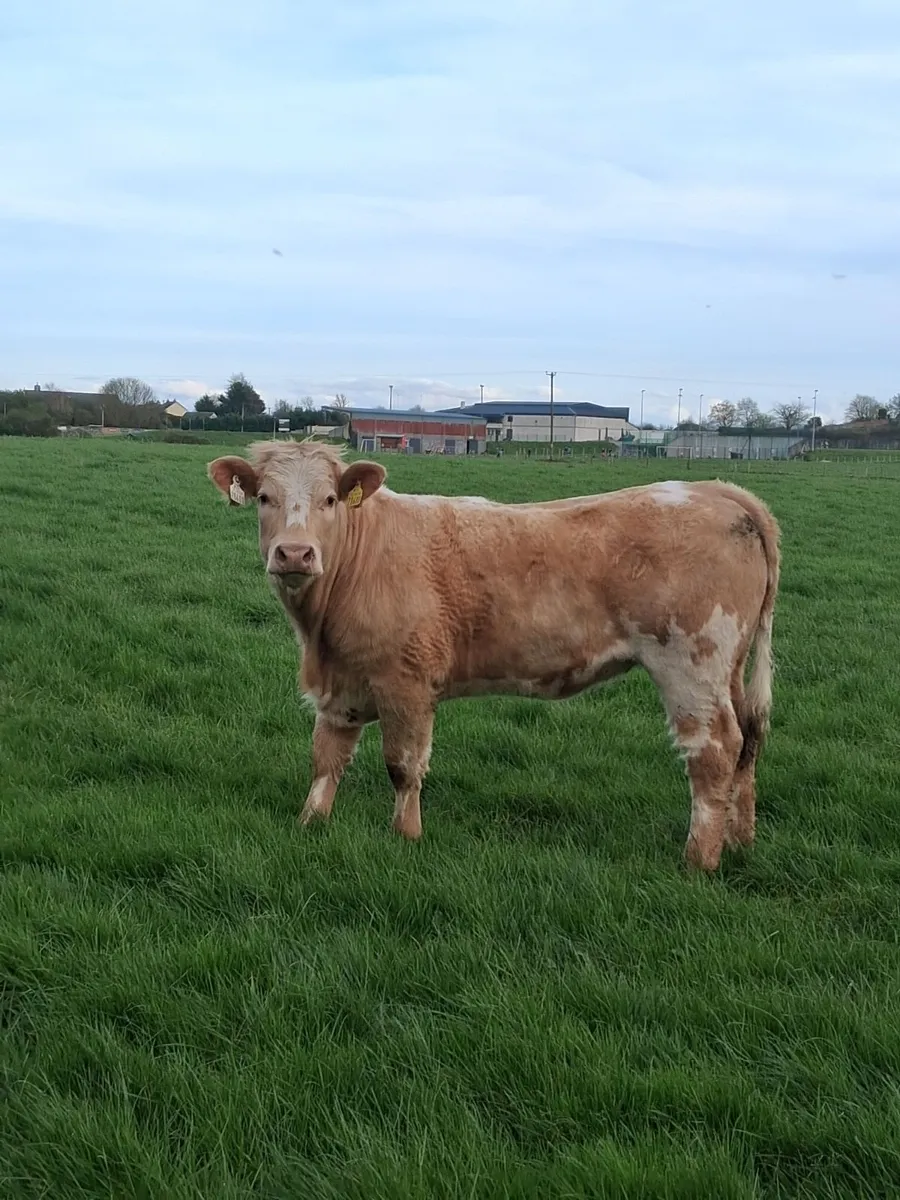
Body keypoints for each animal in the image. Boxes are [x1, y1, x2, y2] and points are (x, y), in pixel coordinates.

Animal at [207, 441, 780, 871]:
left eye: (329, 499)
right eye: (264, 497)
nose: (294, 553)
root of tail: (717, 491)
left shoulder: (406, 682)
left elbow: (403, 765)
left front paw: (406, 836)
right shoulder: (341, 684)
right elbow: (327, 757)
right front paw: (311, 822)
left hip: (692, 665)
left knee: (715, 751)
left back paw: (698, 860)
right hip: (727, 673)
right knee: (748, 743)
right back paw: (739, 840)